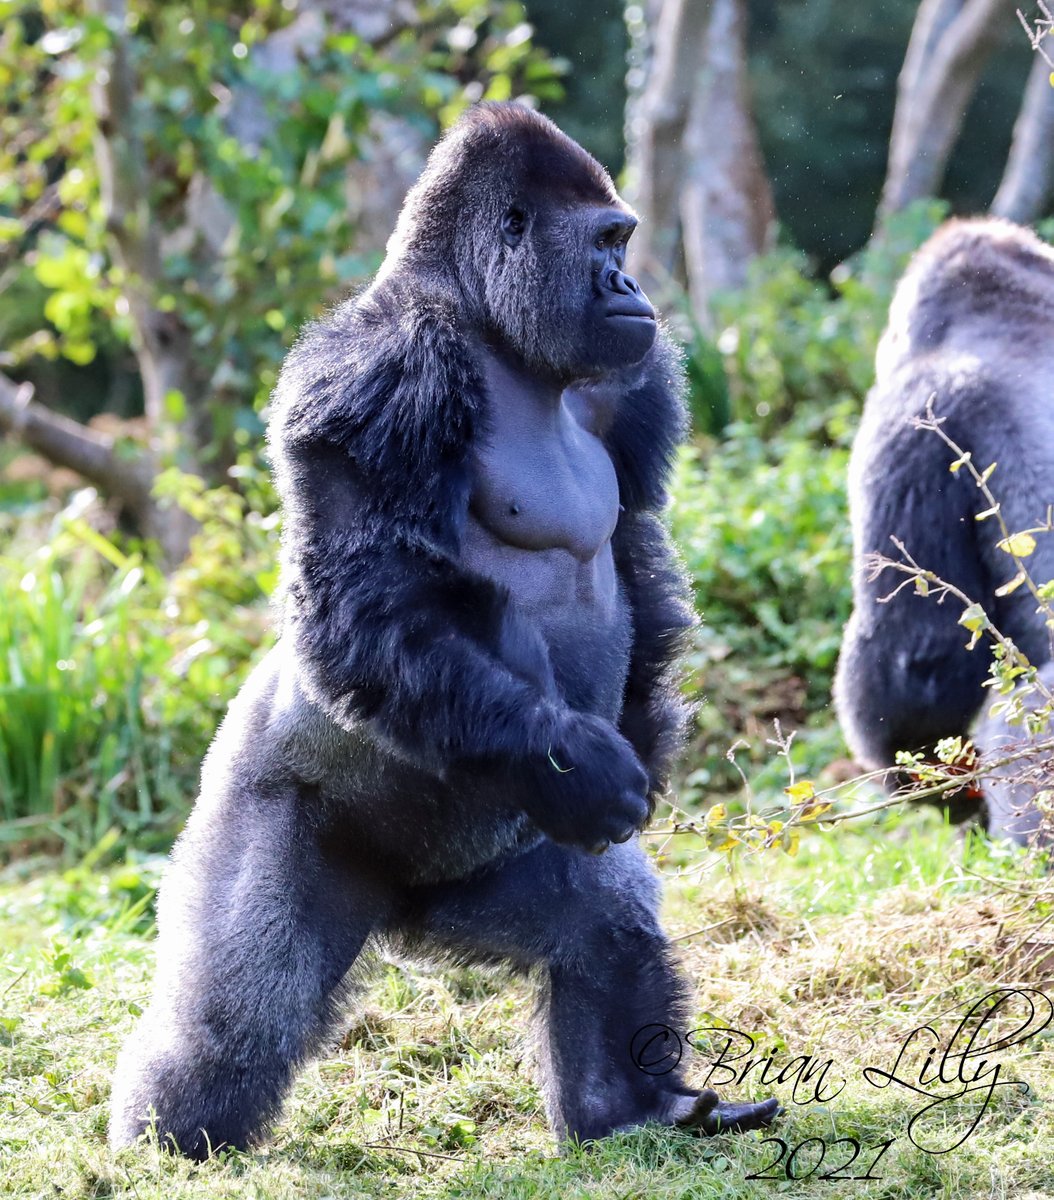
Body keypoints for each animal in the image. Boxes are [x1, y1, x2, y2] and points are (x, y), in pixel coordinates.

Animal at [109, 102, 779, 1159]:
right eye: (609, 242)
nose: (631, 285)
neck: (487, 323)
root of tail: (401, 915)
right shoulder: (381, 374)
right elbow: (363, 601)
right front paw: (584, 758)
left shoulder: (628, 383)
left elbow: (633, 542)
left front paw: (641, 735)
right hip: (269, 809)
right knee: (235, 1011)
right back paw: (167, 1142)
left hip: (484, 870)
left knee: (604, 923)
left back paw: (627, 1110)